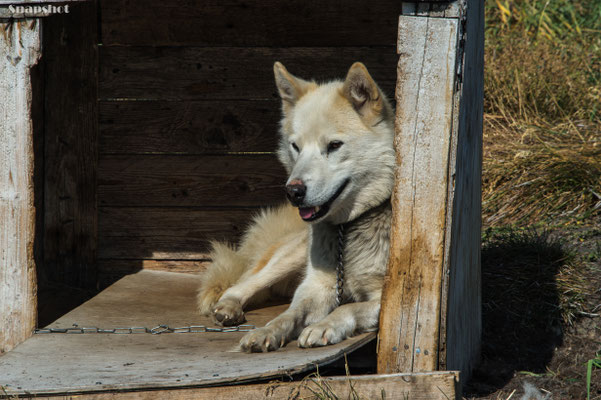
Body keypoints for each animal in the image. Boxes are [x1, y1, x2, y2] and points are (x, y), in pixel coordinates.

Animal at [195, 61, 396, 352]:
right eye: (296, 147)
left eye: (334, 145)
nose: (293, 192)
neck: (347, 229)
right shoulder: (315, 287)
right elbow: (289, 314)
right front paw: (266, 331)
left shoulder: (387, 300)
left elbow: (347, 308)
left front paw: (322, 327)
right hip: (290, 258)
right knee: (240, 284)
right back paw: (229, 307)